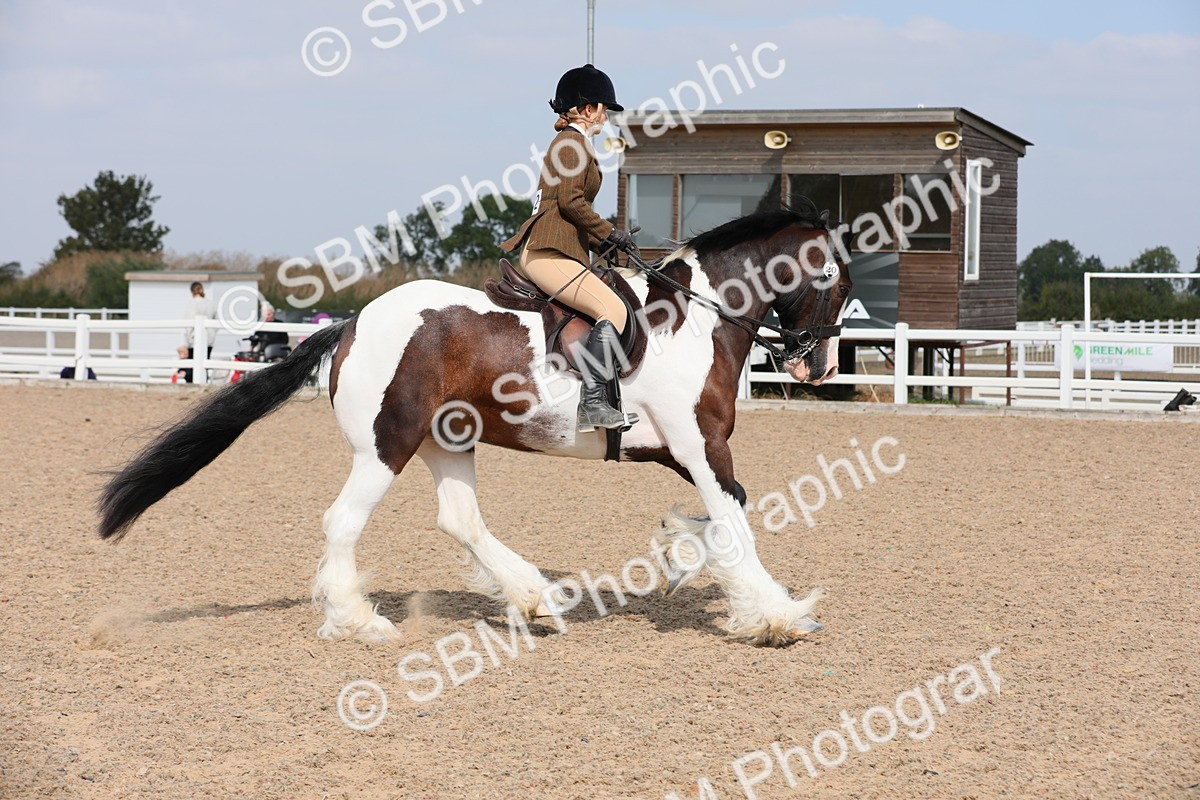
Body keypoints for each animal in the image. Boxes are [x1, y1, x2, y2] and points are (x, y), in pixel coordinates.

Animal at [97, 205, 854, 647]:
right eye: (837, 280)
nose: (817, 365)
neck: (695, 319)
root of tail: (353, 322)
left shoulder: (684, 451)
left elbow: (725, 515)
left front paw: (679, 553)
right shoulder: (701, 445)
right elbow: (735, 518)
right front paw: (779, 615)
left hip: (446, 440)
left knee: (459, 520)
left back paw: (538, 601)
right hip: (387, 446)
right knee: (344, 522)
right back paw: (361, 621)